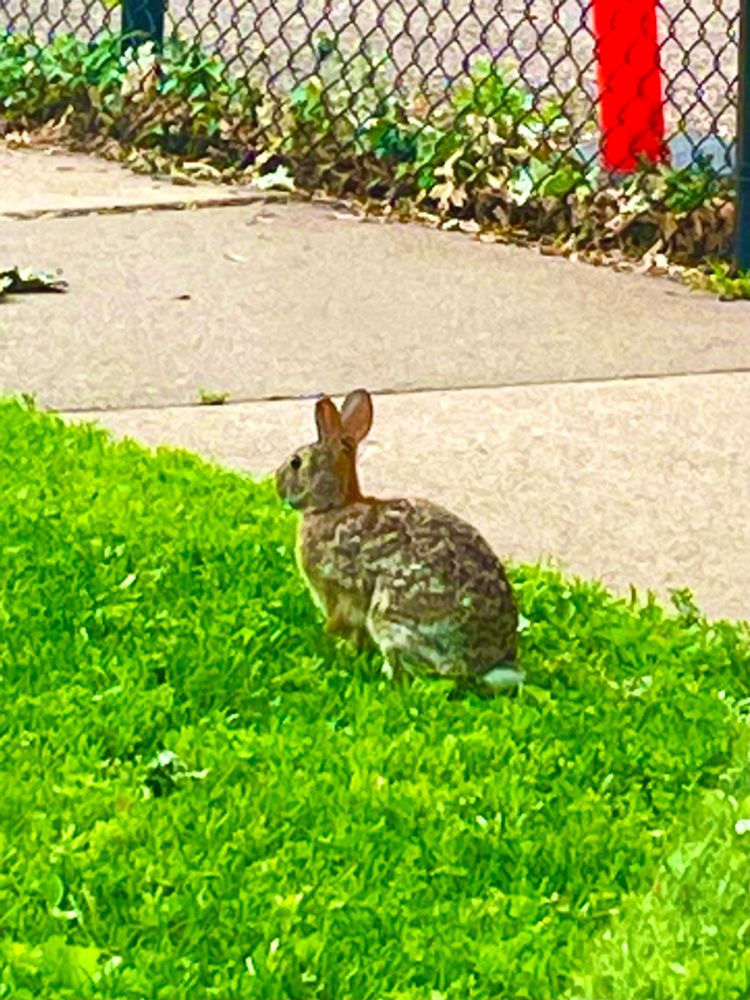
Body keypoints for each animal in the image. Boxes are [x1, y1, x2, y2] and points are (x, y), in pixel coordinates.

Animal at [275, 388, 524, 690]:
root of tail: (488, 664)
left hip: (391, 617)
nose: (277, 483)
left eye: (296, 462)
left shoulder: (341, 591)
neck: (333, 506)